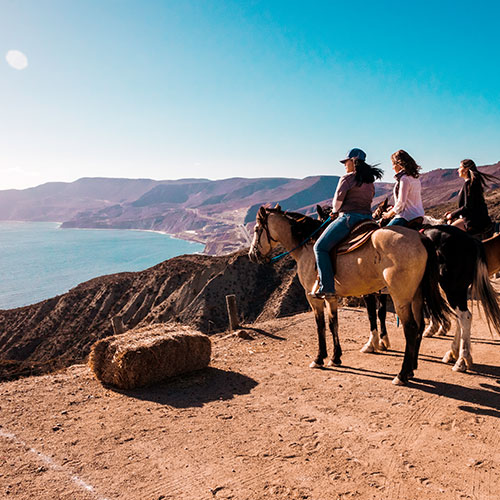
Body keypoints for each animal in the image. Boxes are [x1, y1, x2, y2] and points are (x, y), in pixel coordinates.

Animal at [248, 205, 452, 384]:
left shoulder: (313, 297)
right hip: (417, 294)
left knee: (410, 328)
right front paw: (336, 357)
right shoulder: (331, 296)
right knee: (419, 325)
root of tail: (421, 238)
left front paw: (319, 358)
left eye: (257, 229)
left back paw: (402, 375)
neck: (306, 247)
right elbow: (334, 324)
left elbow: (321, 326)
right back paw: (410, 370)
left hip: (401, 296)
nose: (252, 255)